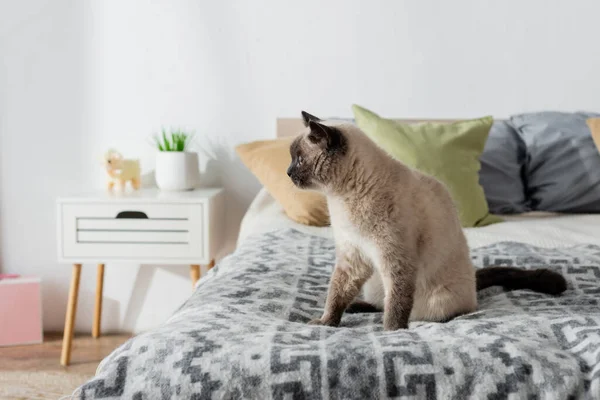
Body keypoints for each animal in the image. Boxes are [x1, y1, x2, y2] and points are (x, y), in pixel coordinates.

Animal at [288, 111, 568, 330]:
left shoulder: (395, 259)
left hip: (437, 297)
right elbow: (336, 295)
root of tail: (473, 282)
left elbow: (397, 305)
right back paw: (358, 306)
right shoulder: (353, 256)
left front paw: (392, 333)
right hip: (373, 282)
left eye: (299, 160)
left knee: (431, 311)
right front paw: (326, 323)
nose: (288, 172)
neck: (341, 198)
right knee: (379, 302)